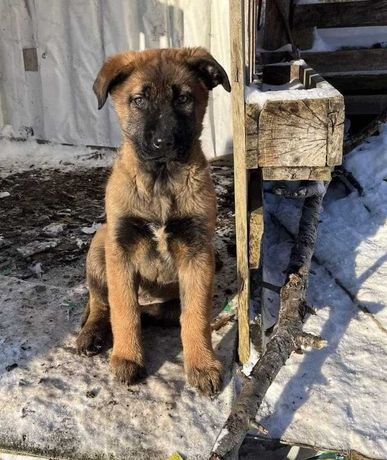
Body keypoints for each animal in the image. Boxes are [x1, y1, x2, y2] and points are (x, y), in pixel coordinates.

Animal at [77, 48, 232, 398]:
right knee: (101, 302)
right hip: (100, 245)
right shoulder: (120, 248)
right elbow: (124, 310)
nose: (164, 142)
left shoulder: (198, 253)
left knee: (158, 312)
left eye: (184, 98)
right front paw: (126, 357)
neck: (161, 181)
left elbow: (195, 317)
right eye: (138, 100)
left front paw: (202, 365)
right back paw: (94, 332)